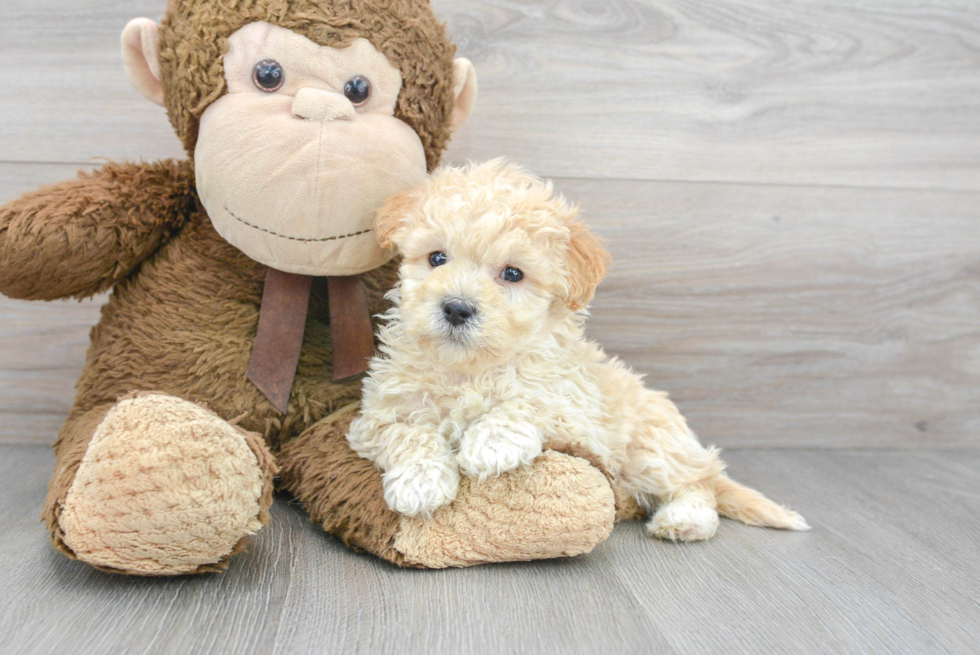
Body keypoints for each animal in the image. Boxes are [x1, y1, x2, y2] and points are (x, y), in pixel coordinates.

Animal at [348, 161, 808, 540]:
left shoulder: (578, 414)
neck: (469, 369)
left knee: (699, 483)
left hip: (650, 448)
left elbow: (532, 402)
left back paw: (685, 519)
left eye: (512, 274)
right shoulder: (375, 416)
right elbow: (407, 434)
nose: (457, 308)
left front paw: (491, 443)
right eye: (437, 258)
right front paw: (419, 482)